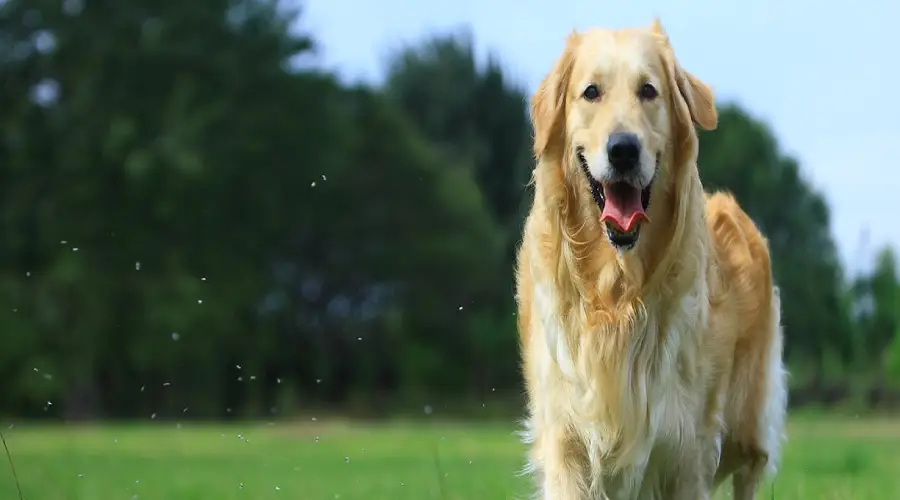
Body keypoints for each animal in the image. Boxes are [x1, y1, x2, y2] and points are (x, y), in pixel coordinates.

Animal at [512, 18, 788, 496]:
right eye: (591, 92)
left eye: (648, 90)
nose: (623, 149)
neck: (618, 295)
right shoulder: (565, 438)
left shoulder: (686, 448)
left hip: (748, 430)